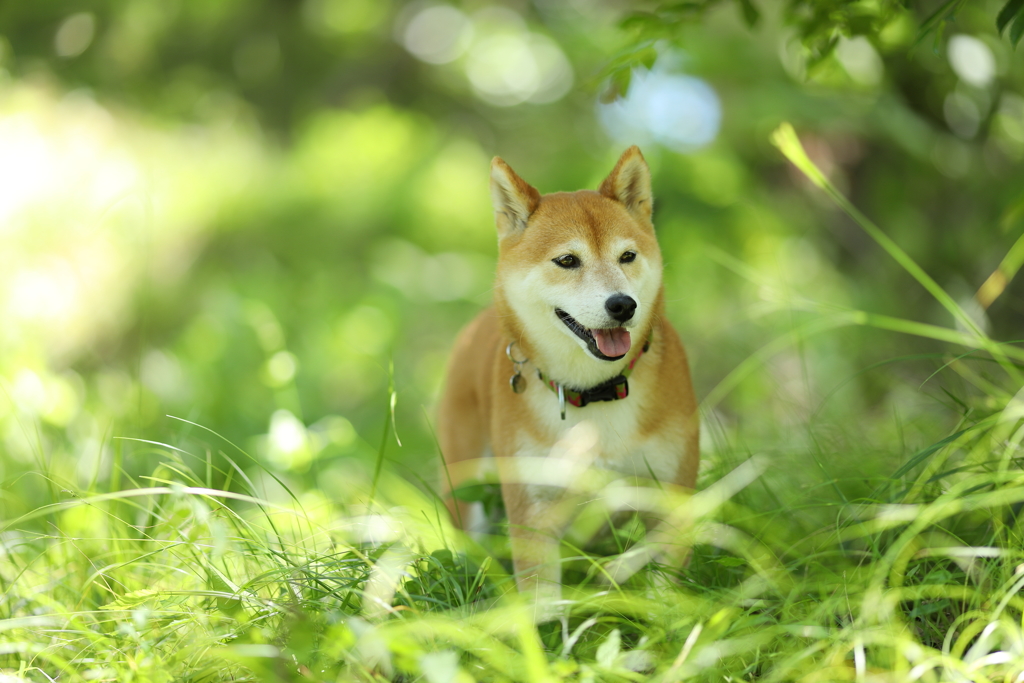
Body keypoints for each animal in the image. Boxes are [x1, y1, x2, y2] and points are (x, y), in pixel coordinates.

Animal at [436, 147, 700, 602]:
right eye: (567, 261)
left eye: (627, 257)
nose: (622, 305)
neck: (595, 392)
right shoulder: (534, 511)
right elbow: (542, 603)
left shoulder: (671, 501)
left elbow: (663, 590)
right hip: (466, 485)